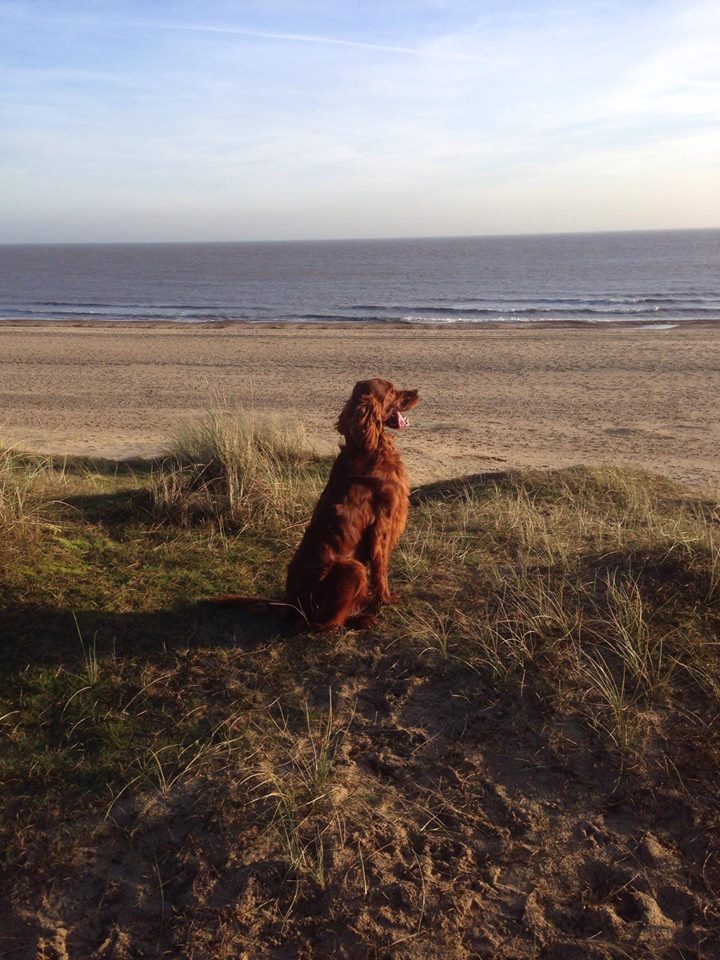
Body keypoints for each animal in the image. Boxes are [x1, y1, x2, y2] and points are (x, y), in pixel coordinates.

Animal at [215, 378, 416, 632]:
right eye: (391, 391)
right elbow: (381, 570)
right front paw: (386, 600)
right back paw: (361, 619)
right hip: (353, 568)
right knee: (323, 623)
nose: (417, 392)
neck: (370, 448)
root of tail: (292, 605)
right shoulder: (382, 526)